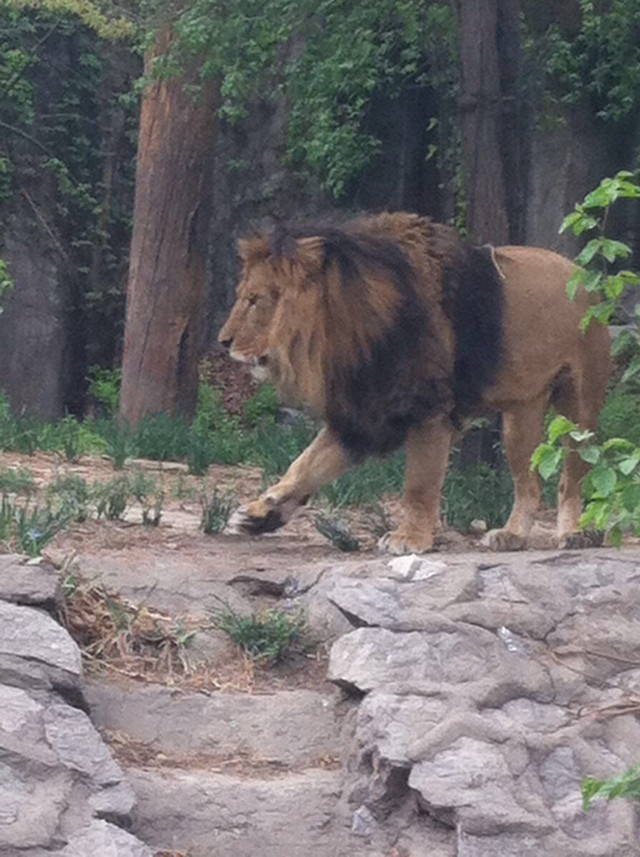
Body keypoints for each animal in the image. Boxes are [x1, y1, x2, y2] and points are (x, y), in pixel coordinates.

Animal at [219, 211, 608, 552]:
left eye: (254, 300)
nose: (223, 342)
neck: (350, 329)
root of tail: (585, 274)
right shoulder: (363, 416)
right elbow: (303, 466)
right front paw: (259, 515)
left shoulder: (428, 408)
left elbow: (419, 485)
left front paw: (409, 539)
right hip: (521, 415)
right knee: (529, 484)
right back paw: (511, 536)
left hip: (580, 405)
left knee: (573, 477)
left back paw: (575, 533)